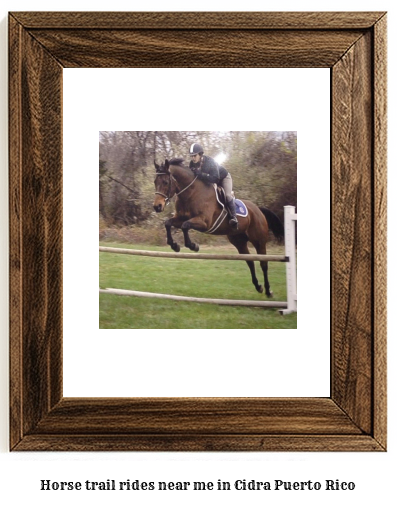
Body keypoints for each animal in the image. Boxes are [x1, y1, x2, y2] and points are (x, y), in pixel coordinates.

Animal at [152, 157, 284, 296]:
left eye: (166, 182)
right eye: (155, 182)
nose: (157, 206)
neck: (191, 192)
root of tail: (258, 209)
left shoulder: (204, 223)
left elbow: (185, 225)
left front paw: (193, 246)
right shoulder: (180, 218)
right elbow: (168, 223)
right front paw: (174, 245)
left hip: (259, 240)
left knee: (263, 263)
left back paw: (268, 290)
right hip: (239, 241)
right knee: (250, 261)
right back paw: (258, 286)